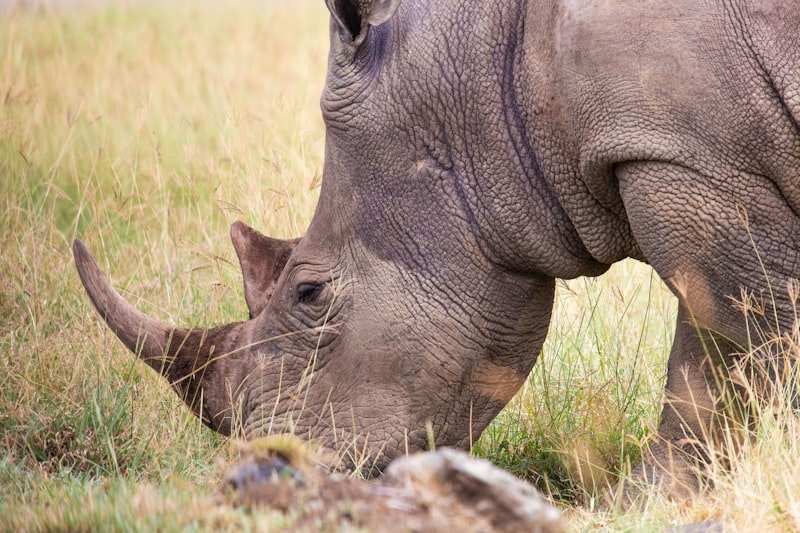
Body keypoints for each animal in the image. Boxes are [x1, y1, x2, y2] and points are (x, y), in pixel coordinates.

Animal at [74, 0, 800, 497]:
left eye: (309, 292)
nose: (264, 470)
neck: (489, 68)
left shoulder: (686, 155)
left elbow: (728, 340)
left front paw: (644, 498)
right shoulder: (686, 152)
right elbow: (724, 348)